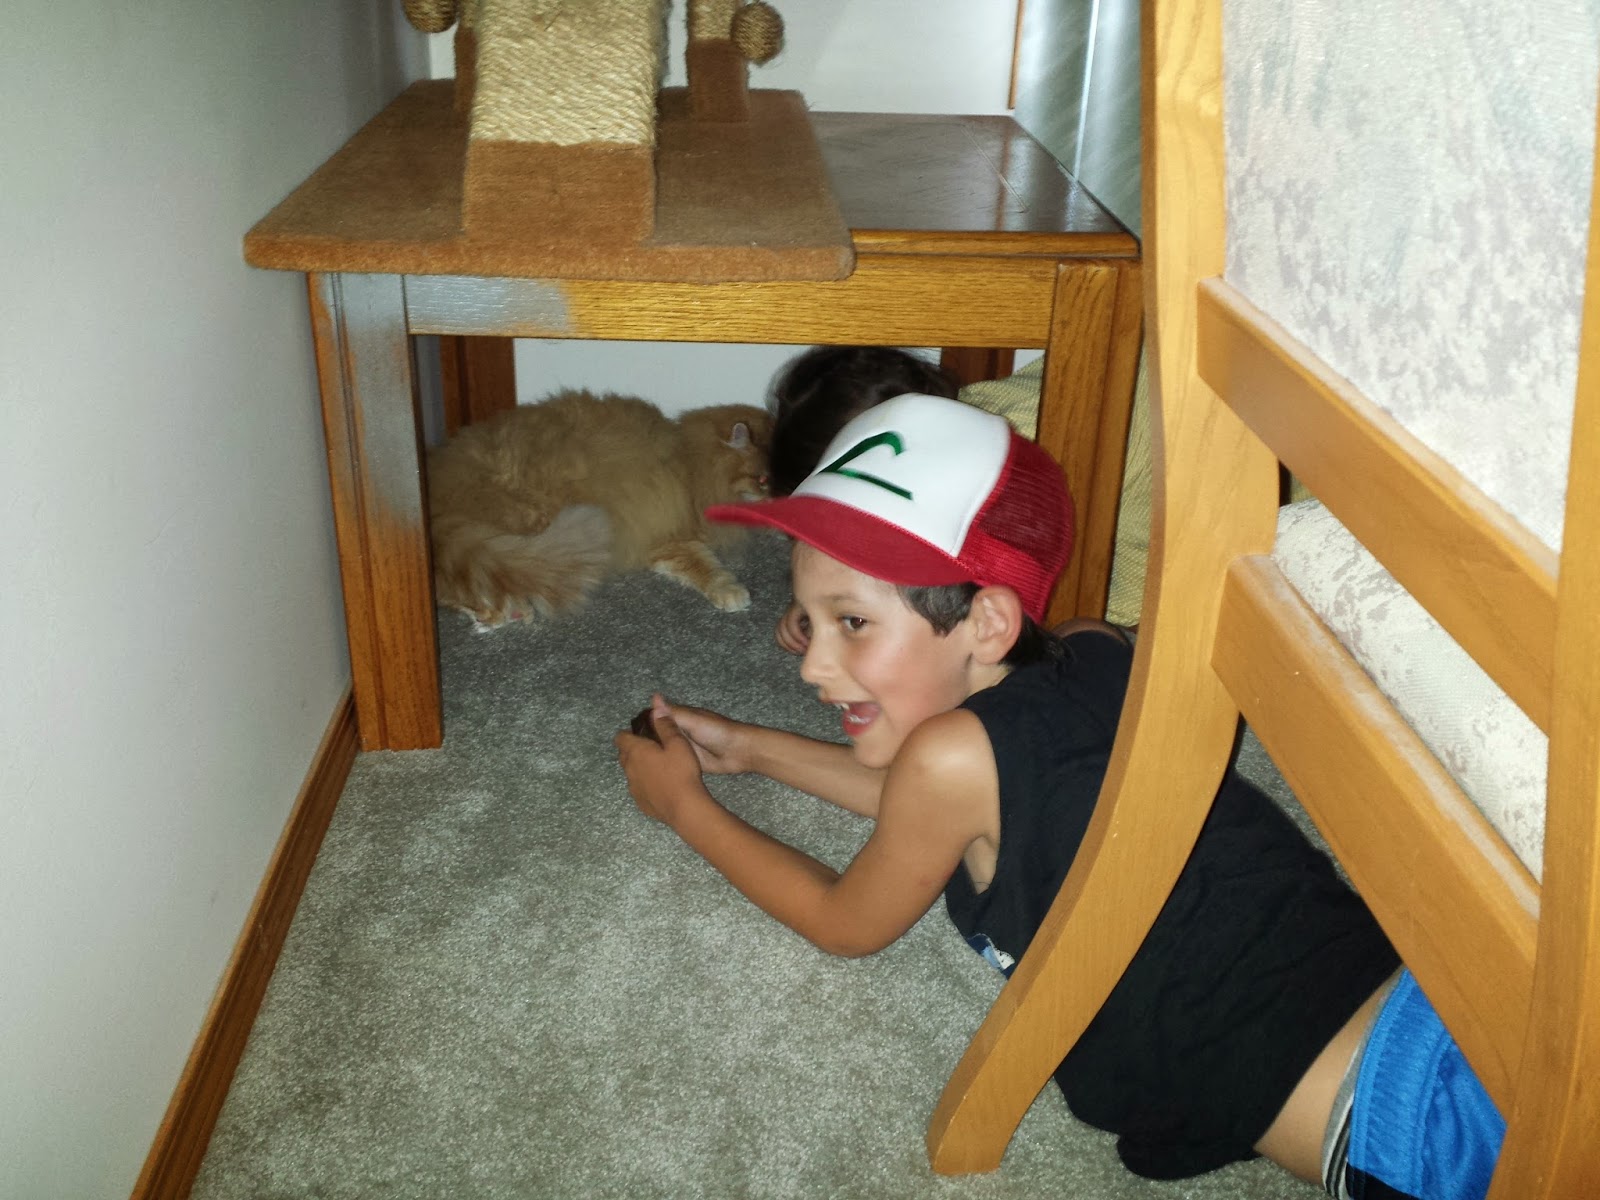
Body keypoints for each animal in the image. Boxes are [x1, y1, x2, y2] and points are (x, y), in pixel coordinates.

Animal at [427, 389, 772, 629]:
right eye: (763, 479)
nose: (777, 496)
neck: (688, 460)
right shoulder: (670, 535)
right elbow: (706, 566)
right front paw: (732, 592)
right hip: (529, 535)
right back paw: (500, 613)